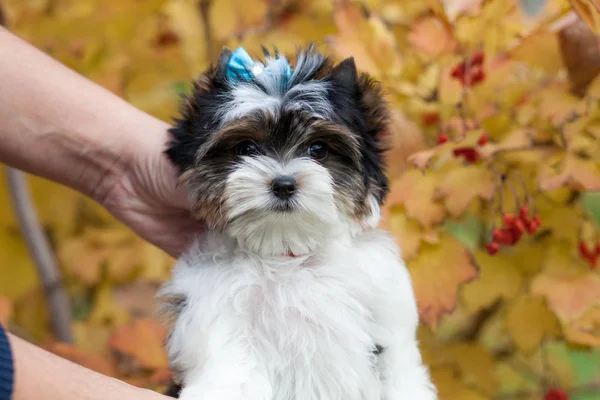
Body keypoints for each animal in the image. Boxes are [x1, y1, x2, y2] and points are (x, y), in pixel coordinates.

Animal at [158, 45, 436, 398]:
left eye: (318, 149)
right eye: (246, 147)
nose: (284, 184)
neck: (288, 255)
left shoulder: (386, 312)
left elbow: (398, 371)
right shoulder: (220, 310)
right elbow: (232, 367)